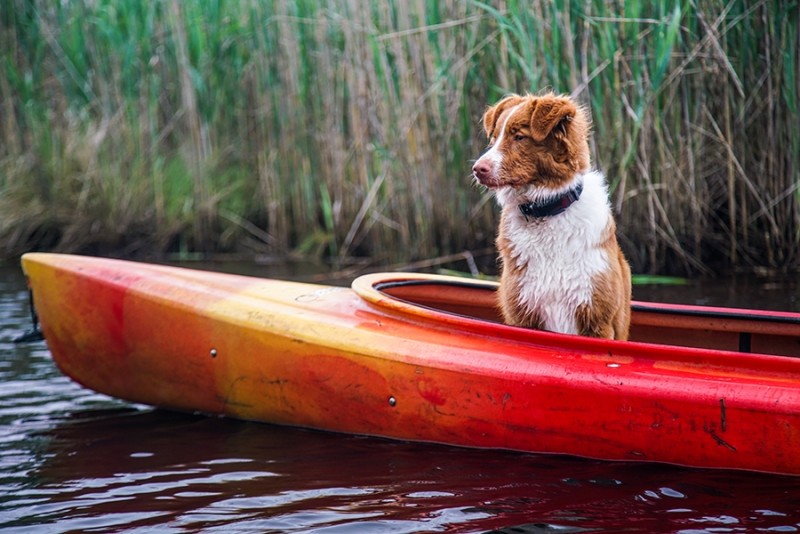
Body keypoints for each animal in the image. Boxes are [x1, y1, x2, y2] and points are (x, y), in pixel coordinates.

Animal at [468, 92, 632, 342]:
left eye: (519, 137)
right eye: (494, 138)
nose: (478, 169)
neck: (545, 211)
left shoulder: (598, 321)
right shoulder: (523, 315)